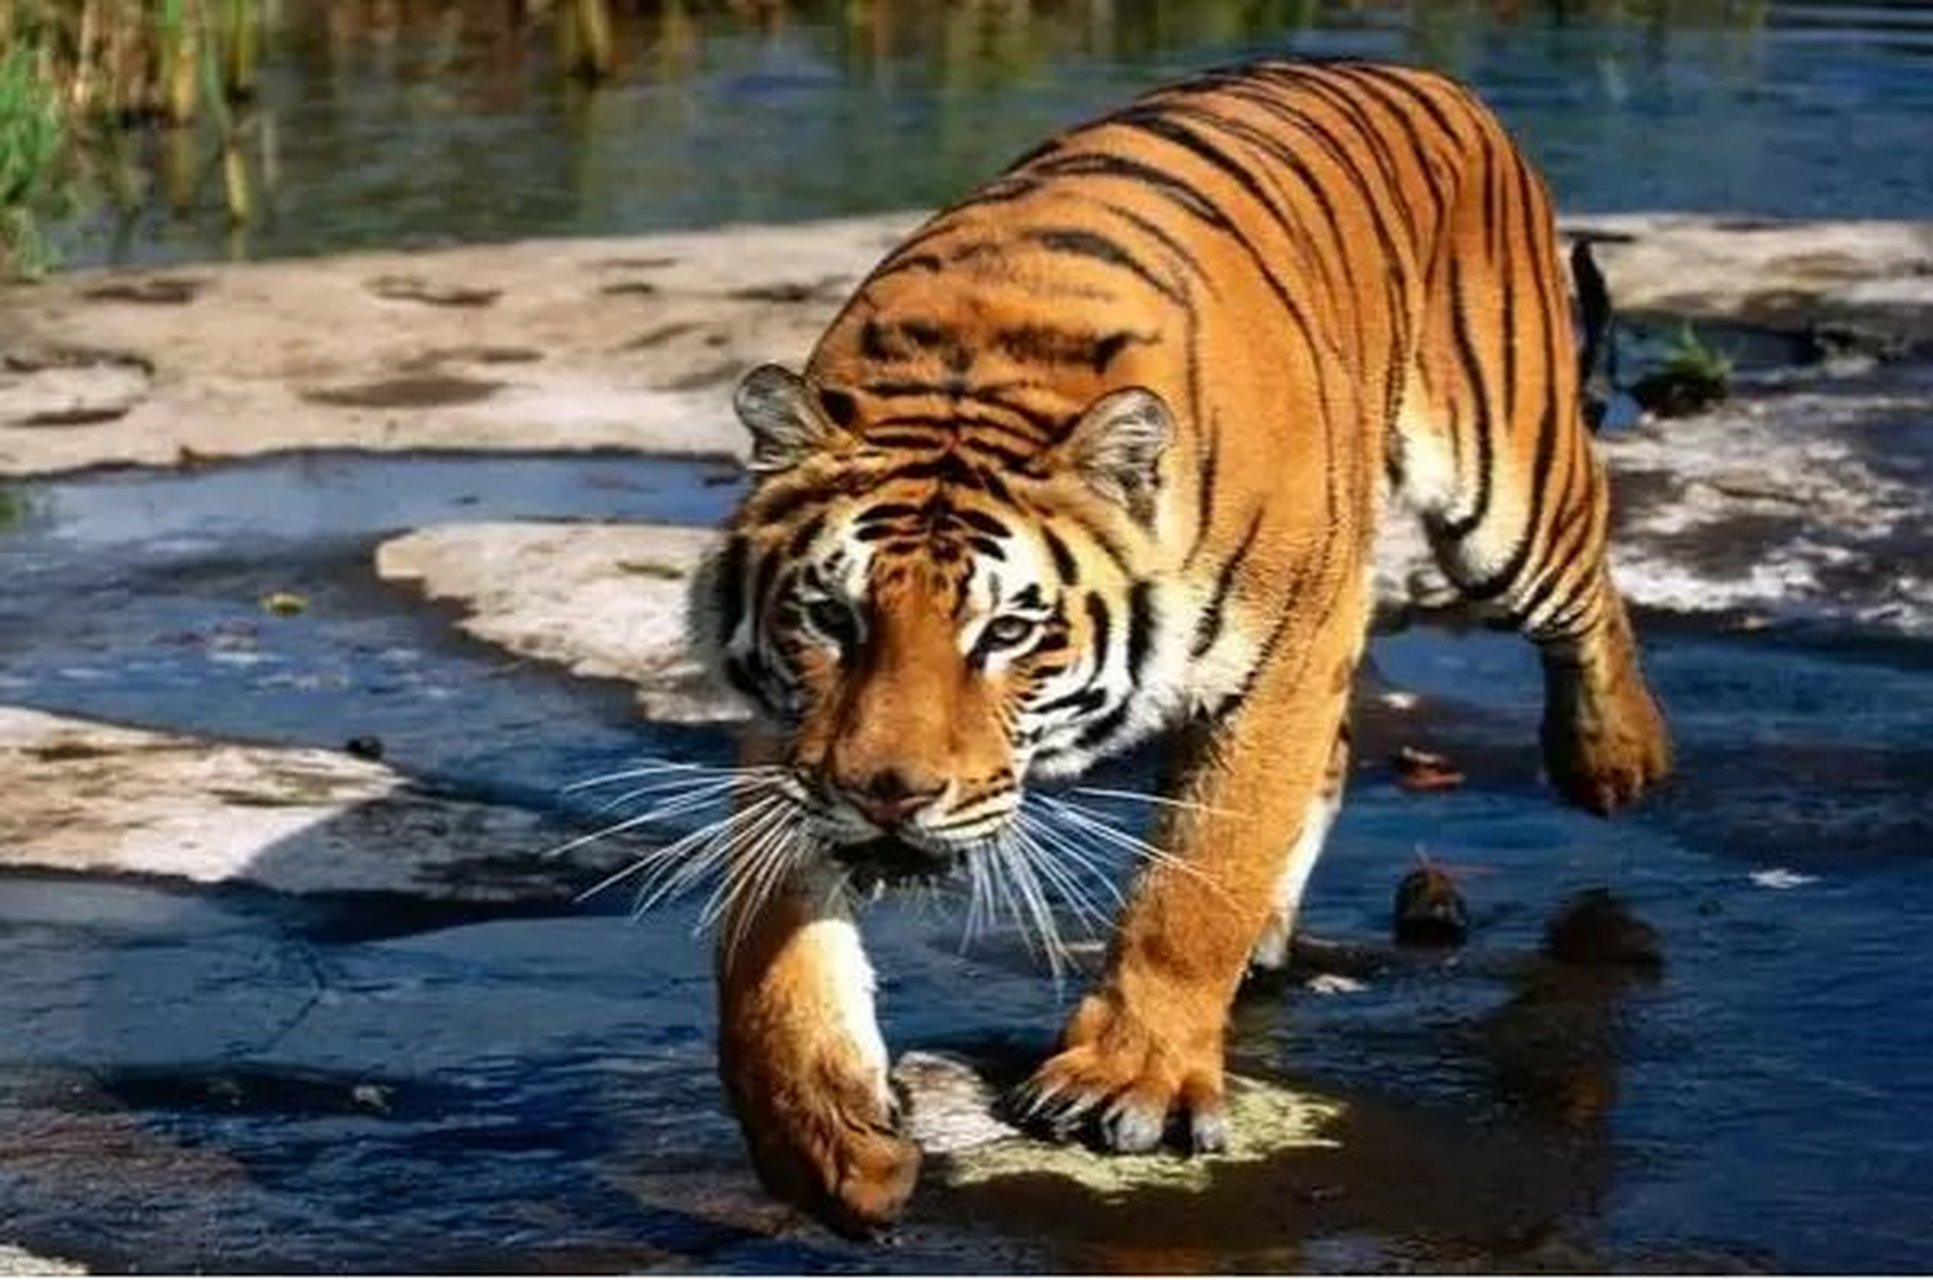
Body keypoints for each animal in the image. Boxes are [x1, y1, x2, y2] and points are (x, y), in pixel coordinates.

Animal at [688, 56, 1670, 1235]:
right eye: (832, 618)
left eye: (1007, 631)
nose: (889, 794)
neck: (978, 371)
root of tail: (1423, 73)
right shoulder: (795, 737)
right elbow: (764, 950)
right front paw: (823, 1139)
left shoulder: (1283, 653)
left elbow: (1200, 877)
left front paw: (1134, 1080)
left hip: (1503, 492)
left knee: (1587, 583)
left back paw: (1615, 758)